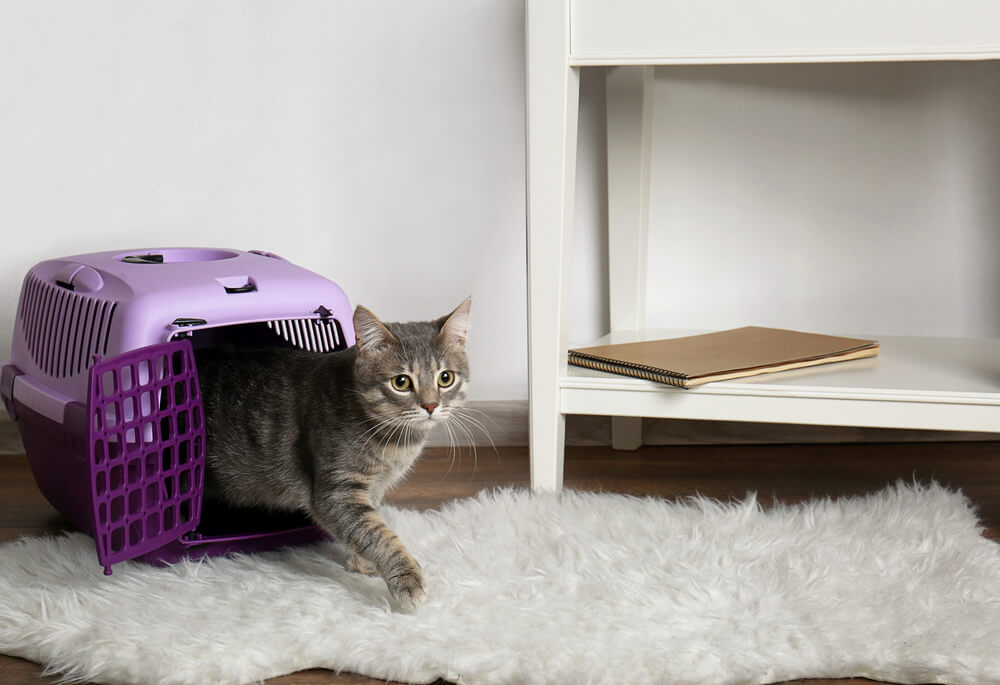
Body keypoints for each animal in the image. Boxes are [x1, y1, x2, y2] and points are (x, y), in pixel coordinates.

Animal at [197, 296, 474, 608]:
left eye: (445, 378)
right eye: (401, 382)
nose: (430, 405)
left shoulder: (371, 489)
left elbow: (368, 527)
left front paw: (361, 564)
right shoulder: (335, 492)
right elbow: (378, 534)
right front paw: (405, 577)